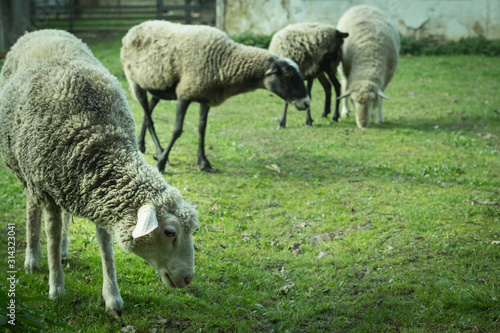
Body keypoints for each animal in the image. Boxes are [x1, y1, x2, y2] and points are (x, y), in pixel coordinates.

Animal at [0, 29, 199, 316]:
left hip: (63, 182)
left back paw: (63, 250)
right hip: (27, 173)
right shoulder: (47, 189)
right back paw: (32, 258)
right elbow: (52, 233)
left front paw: (112, 297)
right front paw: (56, 288)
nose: (188, 278)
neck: (97, 136)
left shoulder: (92, 188)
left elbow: (105, 245)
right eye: (170, 232)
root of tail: (39, 31)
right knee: (31, 209)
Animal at [119, 20, 310, 171]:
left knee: (149, 112)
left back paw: (142, 145)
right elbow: (177, 130)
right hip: (135, 82)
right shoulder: (184, 93)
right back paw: (159, 153)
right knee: (149, 117)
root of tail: (134, 28)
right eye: (288, 75)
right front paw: (161, 163)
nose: (307, 102)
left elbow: (202, 128)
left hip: (158, 87)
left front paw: (204, 163)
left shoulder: (206, 96)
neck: (224, 59)